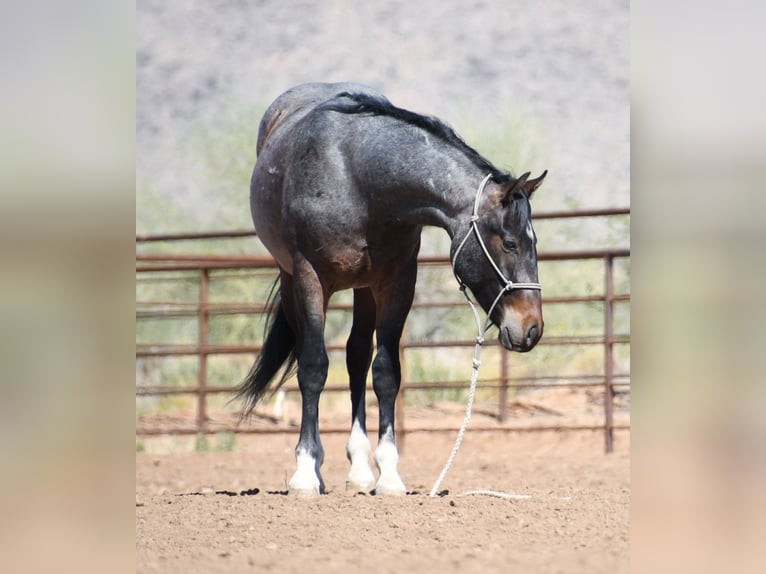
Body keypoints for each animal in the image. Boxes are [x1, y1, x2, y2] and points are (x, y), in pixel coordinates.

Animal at [236, 82, 546, 497]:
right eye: (510, 243)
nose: (531, 328)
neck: (356, 178)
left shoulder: (397, 282)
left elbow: (385, 372)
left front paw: (388, 475)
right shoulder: (309, 277)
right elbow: (313, 366)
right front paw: (304, 473)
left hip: (364, 289)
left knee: (356, 356)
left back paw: (359, 471)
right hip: (293, 279)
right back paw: (317, 467)